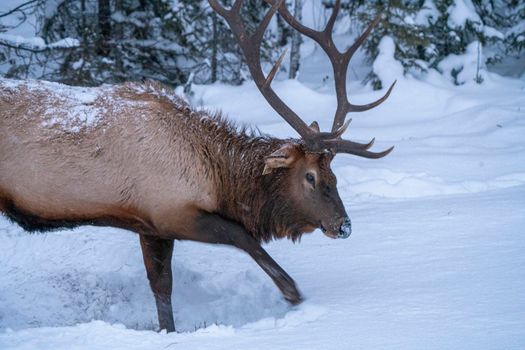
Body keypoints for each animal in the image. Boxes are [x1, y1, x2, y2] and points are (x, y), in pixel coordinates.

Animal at [0, 0, 392, 332]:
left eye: (334, 175)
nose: (344, 226)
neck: (218, 178)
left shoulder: (150, 224)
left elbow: (162, 287)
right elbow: (242, 236)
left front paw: (168, 331)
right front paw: (291, 292)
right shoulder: (171, 211)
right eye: (310, 176)